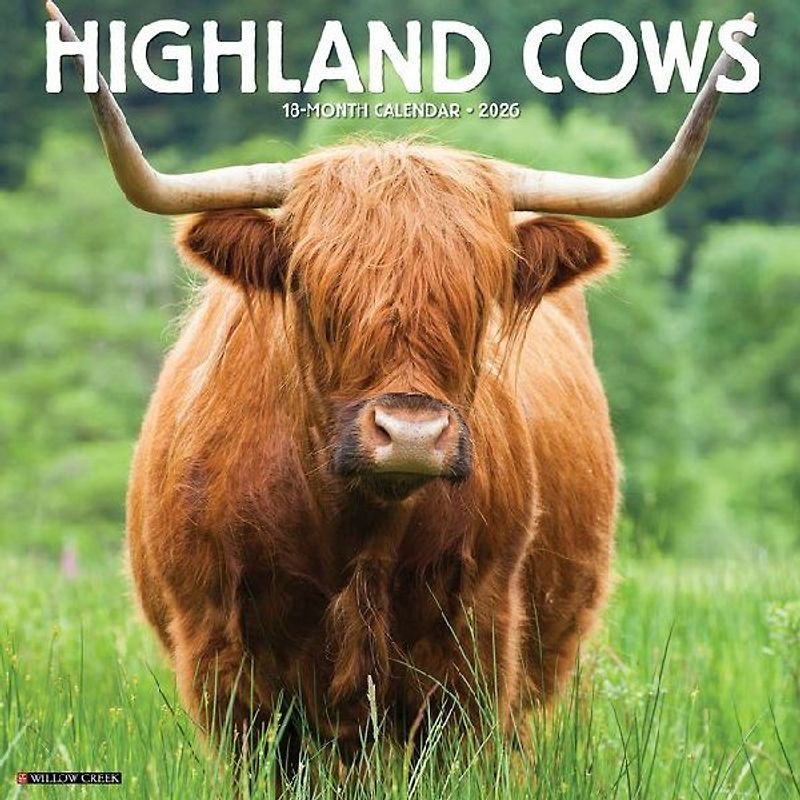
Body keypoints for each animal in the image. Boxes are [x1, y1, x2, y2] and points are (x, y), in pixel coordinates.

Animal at [47, 0, 751, 769]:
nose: (411, 434)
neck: (357, 531)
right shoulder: (225, 662)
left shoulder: (475, 652)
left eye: (480, 297)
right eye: (311, 289)